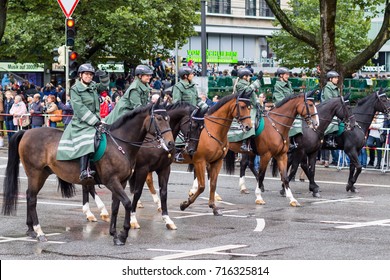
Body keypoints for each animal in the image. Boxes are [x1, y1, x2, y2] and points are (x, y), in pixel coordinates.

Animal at [1, 103, 174, 245]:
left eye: (168, 118)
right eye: (159, 119)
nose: (171, 143)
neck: (120, 144)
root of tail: (27, 132)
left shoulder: (121, 182)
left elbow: (116, 206)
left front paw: (114, 234)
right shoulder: (112, 181)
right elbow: (127, 203)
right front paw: (123, 234)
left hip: (41, 174)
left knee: (30, 196)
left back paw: (30, 229)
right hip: (35, 174)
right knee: (31, 199)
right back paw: (39, 232)